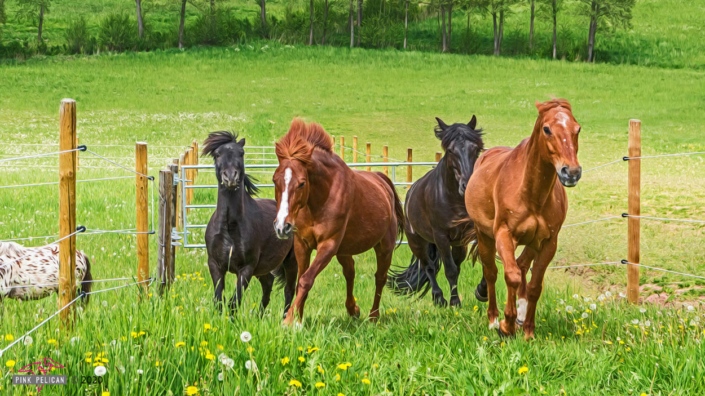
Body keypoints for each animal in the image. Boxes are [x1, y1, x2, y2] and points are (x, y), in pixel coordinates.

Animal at [201, 131, 296, 318]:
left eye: (241, 153)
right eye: (217, 154)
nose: (231, 177)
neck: (229, 228)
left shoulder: (246, 269)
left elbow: (233, 302)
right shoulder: (215, 265)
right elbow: (219, 299)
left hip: (292, 262)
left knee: (289, 291)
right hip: (263, 269)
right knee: (268, 285)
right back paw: (259, 317)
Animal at [270, 117, 402, 324]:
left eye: (302, 183)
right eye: (275, 180)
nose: (282, 227)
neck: (319, 200)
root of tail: (383, 181)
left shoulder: (328, 245)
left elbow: (306, 279)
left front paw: (290, 320)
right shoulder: (302, 244)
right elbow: (301, 280)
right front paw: (298, 318)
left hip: (384, 247)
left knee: (380, 277)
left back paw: (373, 317)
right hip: (344, 250)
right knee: (350, 271)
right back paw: (353, 310)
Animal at [384, 116, 484, 308]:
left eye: (476, 148)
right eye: (450, 150)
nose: (467, 185)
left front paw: (482, 292)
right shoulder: (441, 236)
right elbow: (450, 270)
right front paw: (455, 302)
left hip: (458, 243)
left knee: (454, 264)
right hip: (417, 242)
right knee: (428, 266)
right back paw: (439, 298)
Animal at [464, 100, 580, 340]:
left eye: (577, 129)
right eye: (547, 129)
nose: (571, 172)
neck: (531, 194)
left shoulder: (548, 243)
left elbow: (535, 285)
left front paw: (527, 330)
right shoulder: (504, 236)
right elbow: (511, 276)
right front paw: (506, 325)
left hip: (532, 243)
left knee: (522, 265)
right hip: (484, 236)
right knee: (491, 272)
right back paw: (493, 320)